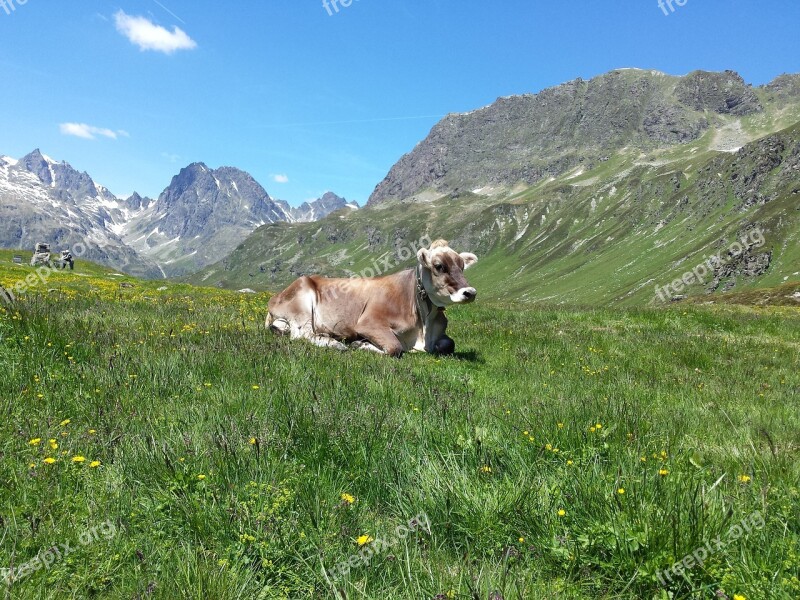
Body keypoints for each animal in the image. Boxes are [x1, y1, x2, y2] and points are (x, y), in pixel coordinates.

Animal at [266, 239, 478, 356]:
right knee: (301, 335)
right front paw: (360, 344)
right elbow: (394, 347)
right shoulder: (368, 323)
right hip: (302, 304)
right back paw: (336, 344)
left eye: (462, 266)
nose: (470, 292)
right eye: (439, 266)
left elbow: (449, 344)